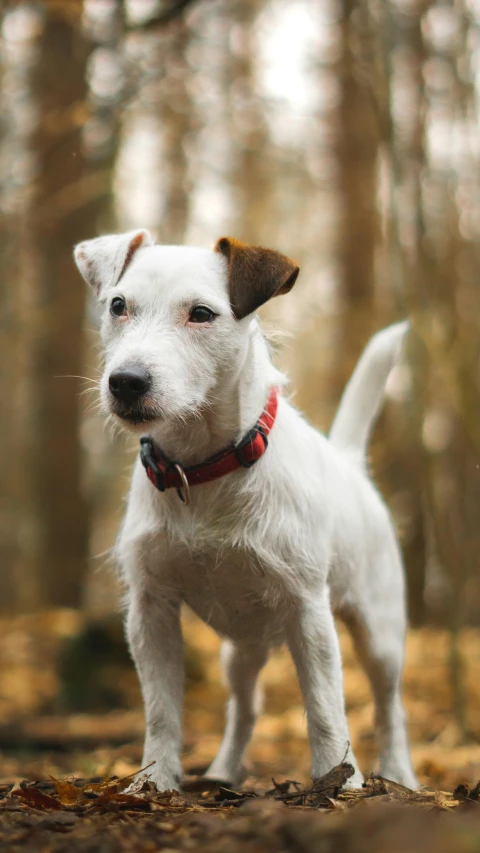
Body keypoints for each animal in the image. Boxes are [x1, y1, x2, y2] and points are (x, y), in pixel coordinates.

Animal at [74, 230, 416, 788]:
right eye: (118, 306)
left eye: (201, 313)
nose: (125, 381)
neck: (204, 468)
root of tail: (350, 464)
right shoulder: (151, 610)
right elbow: (162, 711)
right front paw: (154, 782)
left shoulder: (308, 610)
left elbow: (326, 707)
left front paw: (339, 781)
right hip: (240, 649)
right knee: (245, 707)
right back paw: (222, 773)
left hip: (380, 635)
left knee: (389, 707)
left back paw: (400, 774)